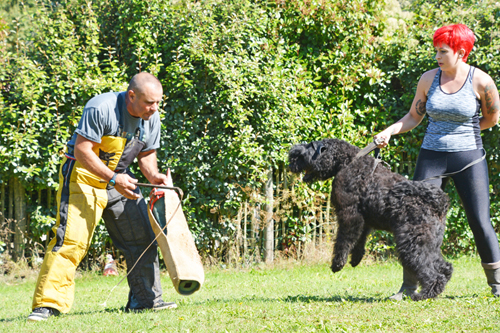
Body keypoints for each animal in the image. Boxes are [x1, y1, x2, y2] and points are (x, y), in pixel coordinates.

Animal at [288, 139, 452, 300]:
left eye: (309, 147)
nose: (291, 157)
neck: (346, 162)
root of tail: (439, 202)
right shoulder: (364, 219)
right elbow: (360, 239)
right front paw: (356, 259)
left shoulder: (349, 214)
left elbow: (343, 240)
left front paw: (338, 263)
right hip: (429, 241)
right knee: (444, 267)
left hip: (413, 243)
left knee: (432, 272)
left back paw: (424, 294)